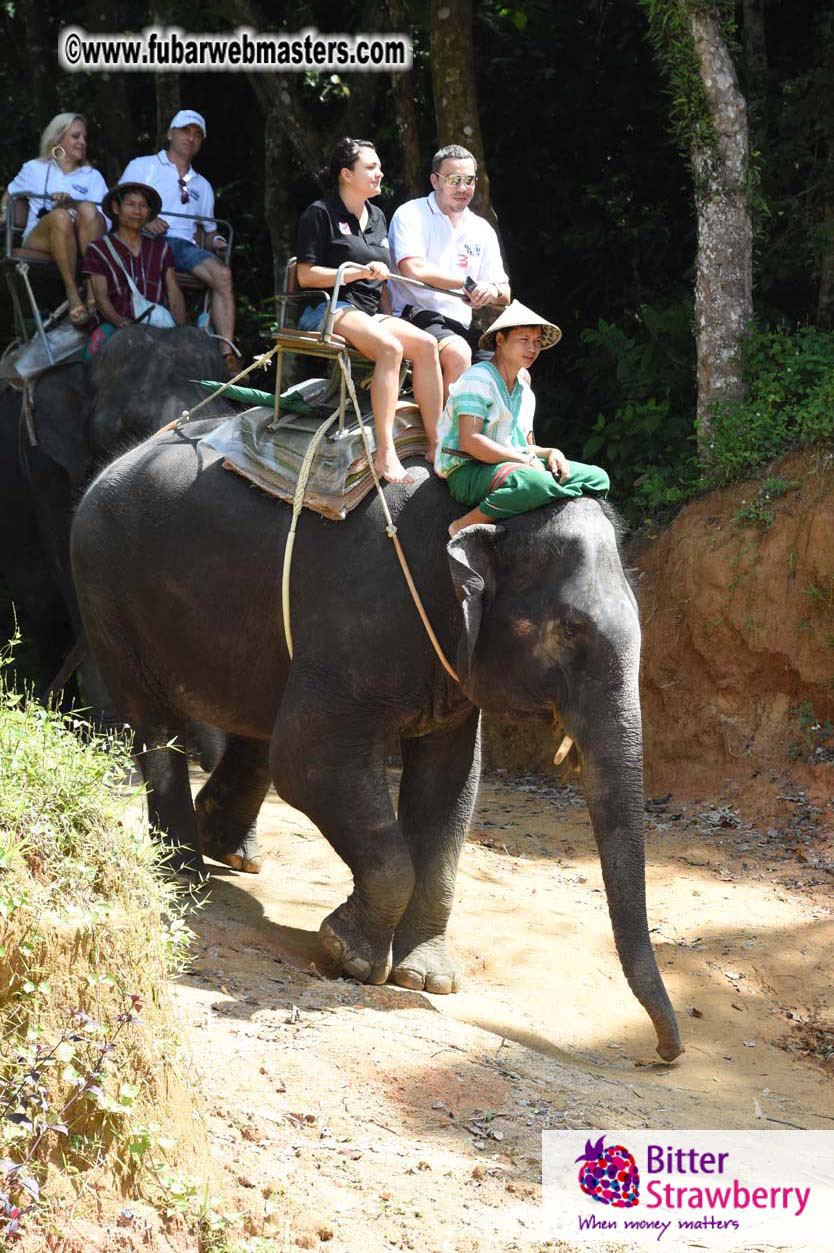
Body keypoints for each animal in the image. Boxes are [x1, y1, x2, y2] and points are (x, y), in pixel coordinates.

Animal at [70, 419, 683, 1061]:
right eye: (569, 630)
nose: (666, 1053)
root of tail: (126, 455)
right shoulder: (362, 619)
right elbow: (308, 760)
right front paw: (351, 956)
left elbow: (449, 784)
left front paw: (424, 979)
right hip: (105, 589)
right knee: (157, 722)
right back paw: (183, 873)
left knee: (256, 724)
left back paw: (233, 851)